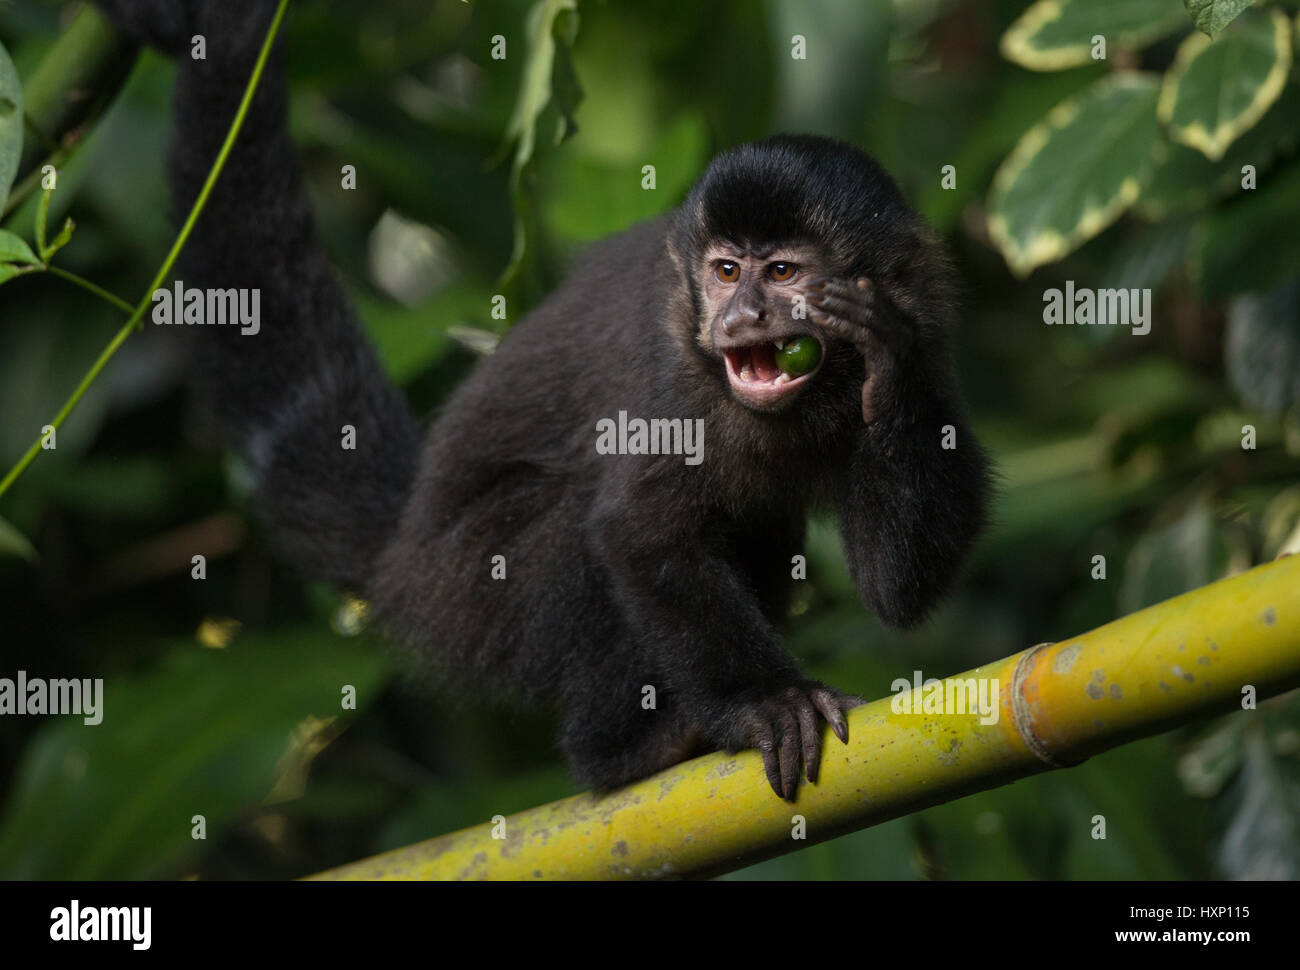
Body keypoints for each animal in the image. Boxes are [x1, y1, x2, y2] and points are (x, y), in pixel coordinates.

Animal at [96, 0, 982, 795]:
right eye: (728, 271)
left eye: (785, 272)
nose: (740, 318)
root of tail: (402, 549)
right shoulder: (672, 379)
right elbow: (635, 531)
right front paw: (764, 702)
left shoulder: (935, 328)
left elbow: (896, 589)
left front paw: (889, 360)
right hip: (465, 592)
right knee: (570, 530)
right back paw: (620, 753)